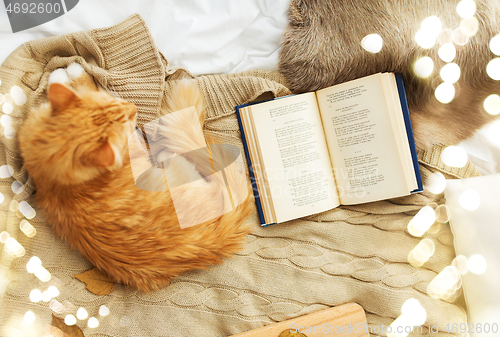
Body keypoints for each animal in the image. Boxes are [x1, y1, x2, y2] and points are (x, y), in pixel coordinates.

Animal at [17, 63, 252, 292]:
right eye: (126, 118)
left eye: (114, 103)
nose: (133, 107)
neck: (58, 182)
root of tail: (212, 240)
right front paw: (72, 72)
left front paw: (63, 76)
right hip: (180, 167)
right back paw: (164, 155)